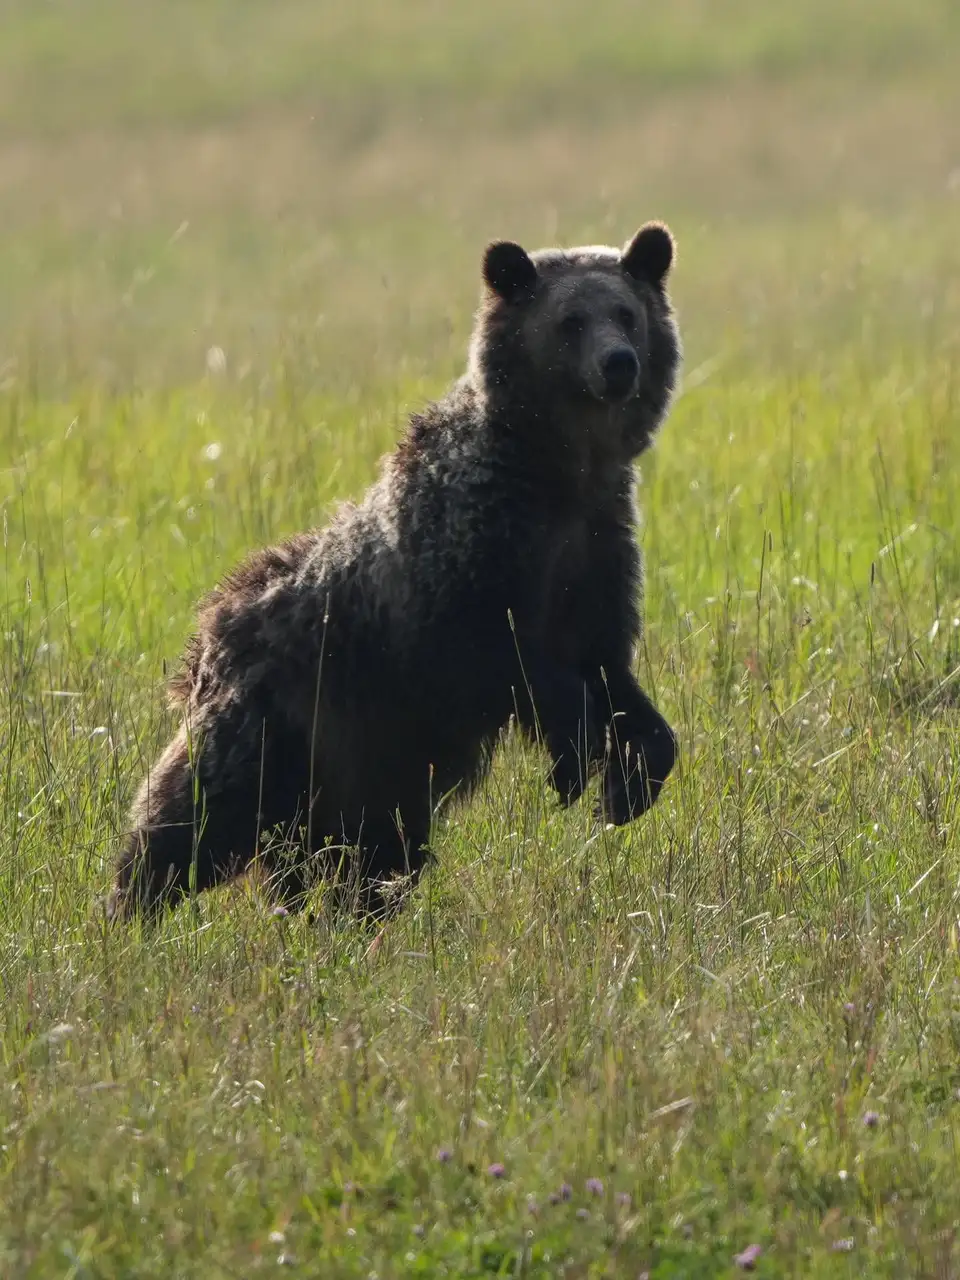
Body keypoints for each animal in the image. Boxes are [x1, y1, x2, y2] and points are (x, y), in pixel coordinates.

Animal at [106, 220, 686, 921]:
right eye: (571, 320)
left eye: (626, 313)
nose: (618, 363)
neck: (558, 472)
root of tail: (208, 637)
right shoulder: (462, 564)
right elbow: (508, 657)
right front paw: (575, 762)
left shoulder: (595, 551)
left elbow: (611, 672)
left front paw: (629, 783)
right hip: (283, 724)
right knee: (190, 819)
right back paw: (129, 907)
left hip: (373, 770)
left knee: (374, 858)